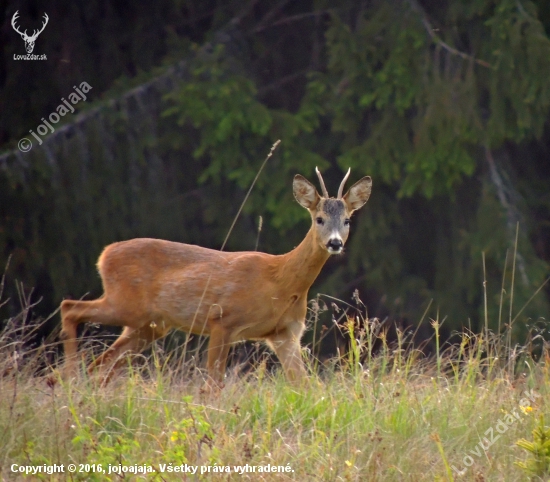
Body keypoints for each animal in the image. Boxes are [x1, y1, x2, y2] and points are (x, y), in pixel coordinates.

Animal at [58, 169, 374, 388]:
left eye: (347, 220)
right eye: (319, 219)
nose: (335, 243)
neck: (279, 280)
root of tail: (104, 255)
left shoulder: (286, 333)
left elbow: (307, 386)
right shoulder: (222, 320)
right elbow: (212, 388)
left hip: (149, 325)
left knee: (103, 364)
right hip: (126, 304)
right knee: (70, 308)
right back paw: (68, 379)